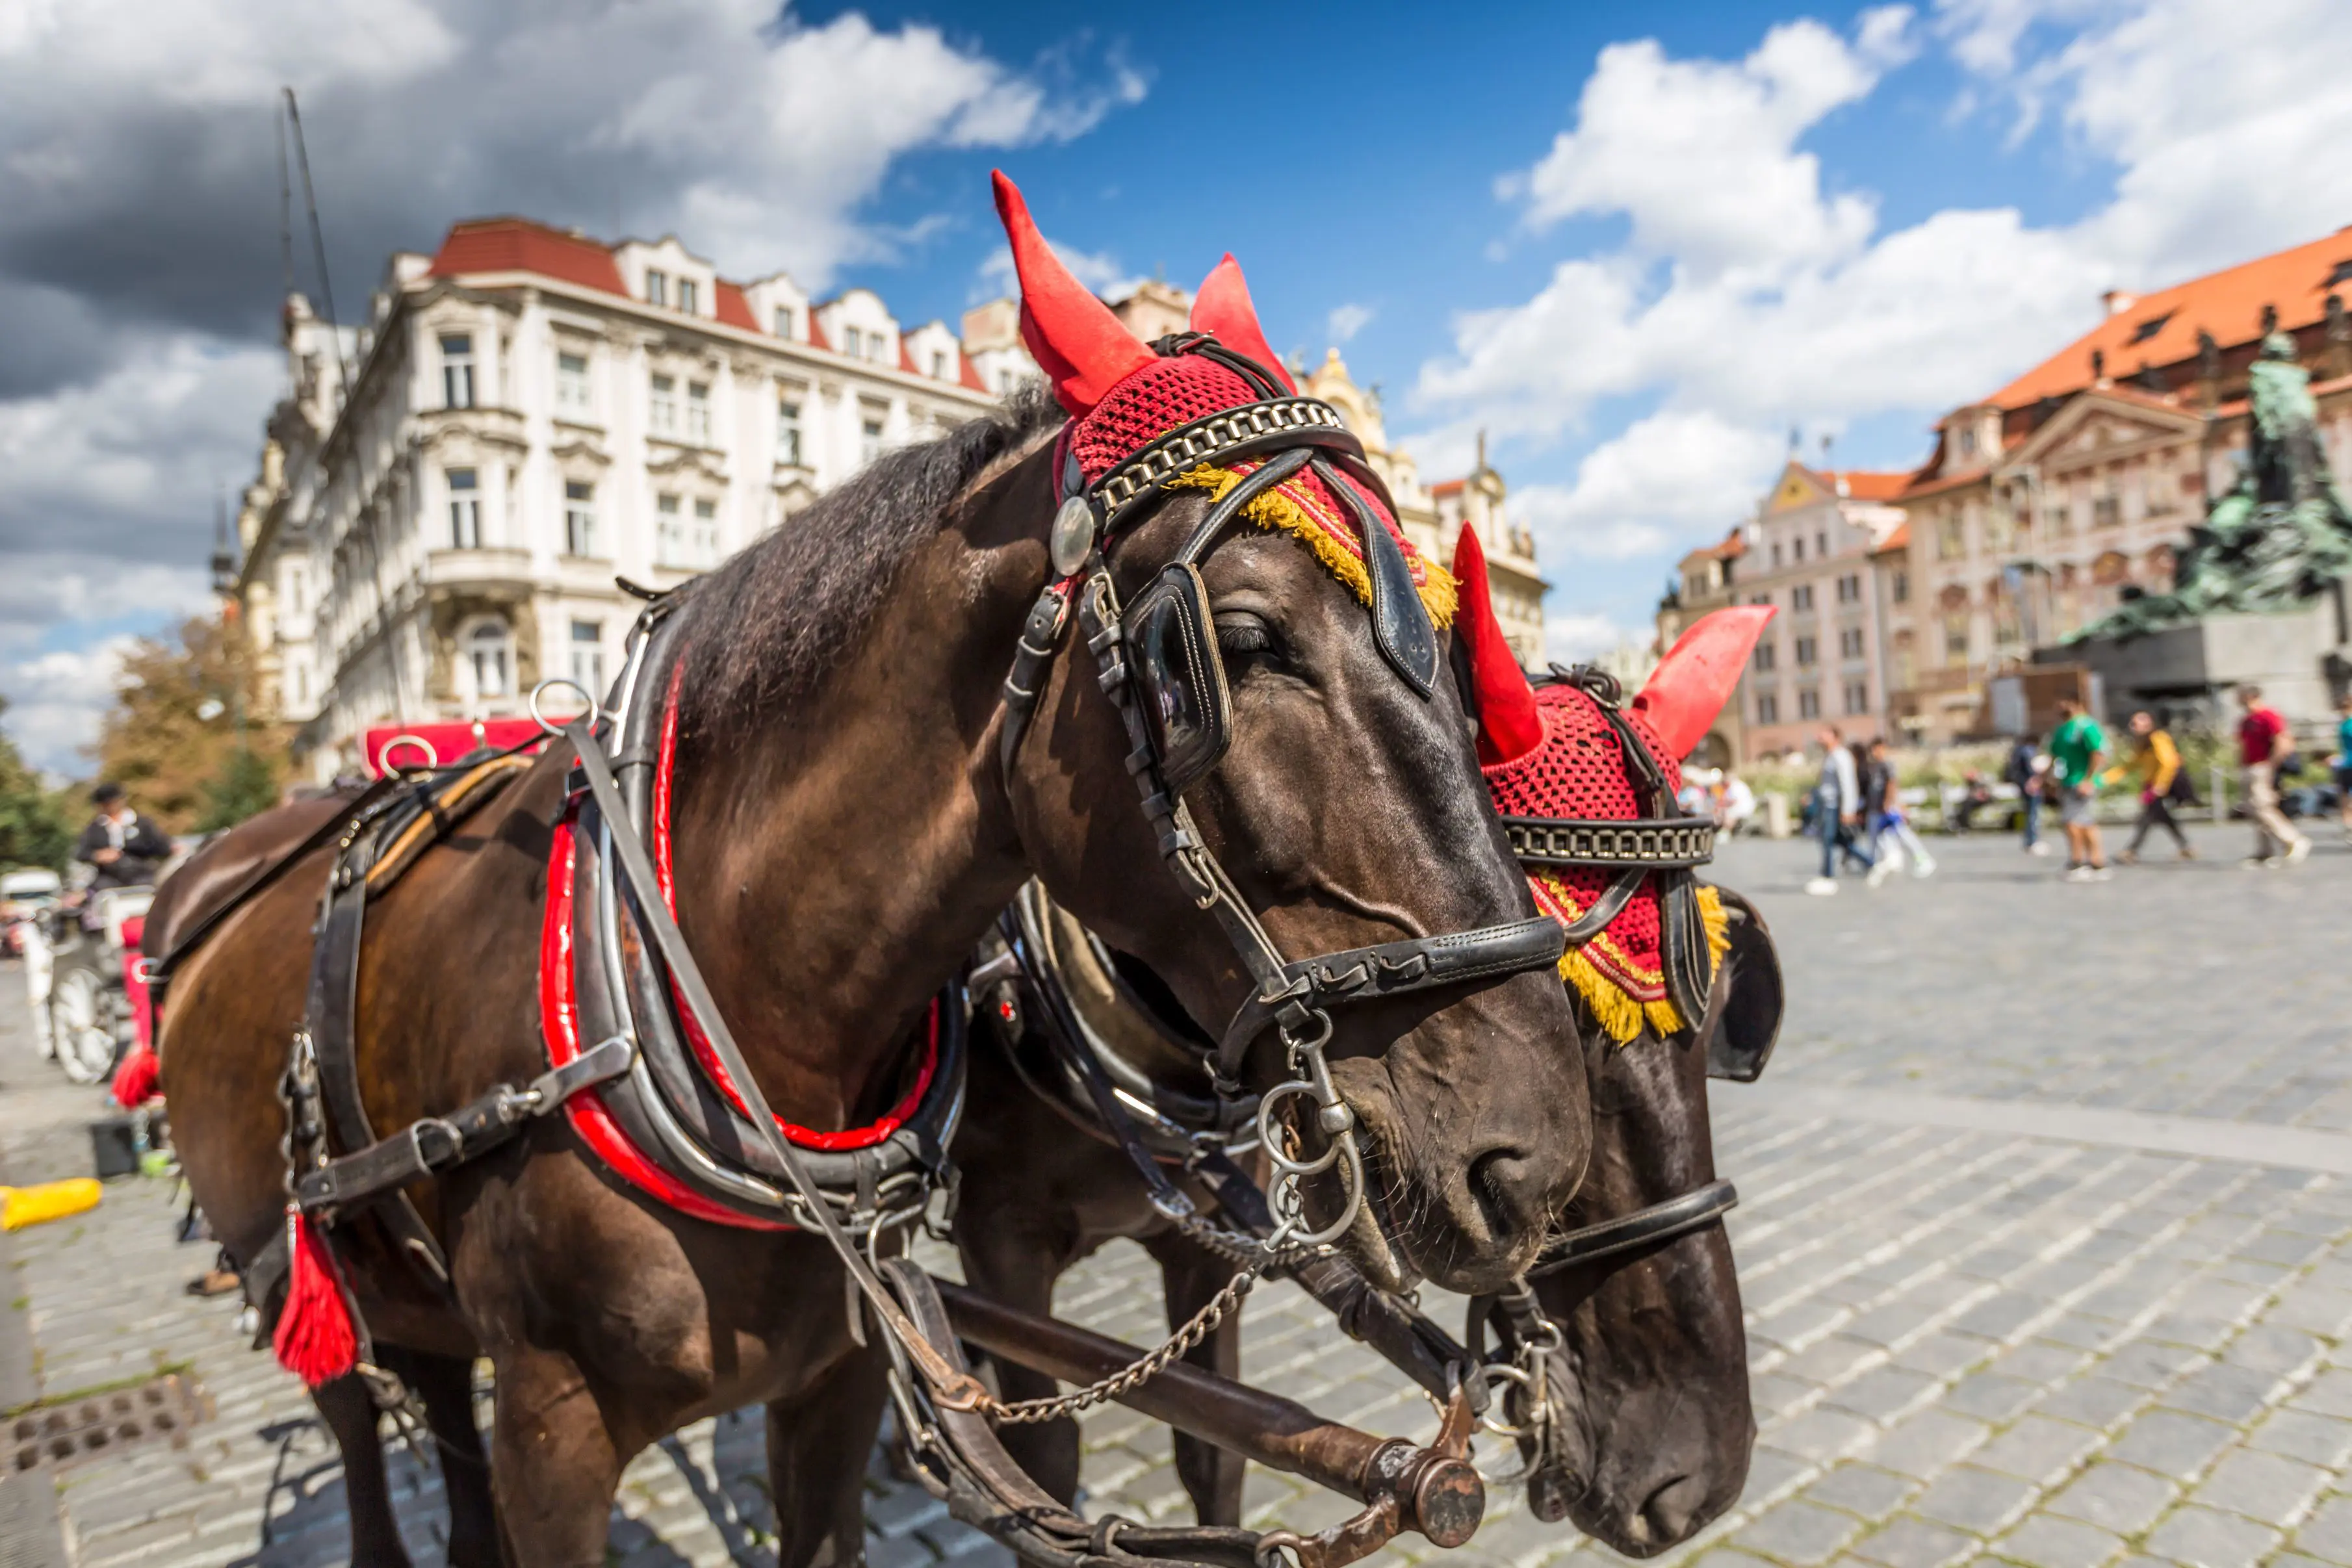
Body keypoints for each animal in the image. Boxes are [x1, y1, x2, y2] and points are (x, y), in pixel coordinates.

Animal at [148, 174, 1595, 1568]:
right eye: (1238, 637)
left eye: (1453, 638)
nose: (1535, 1154)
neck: (737, 1009)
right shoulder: (562, 1428)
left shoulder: (846, 1374)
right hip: (304, 1278)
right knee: (364, 1432)